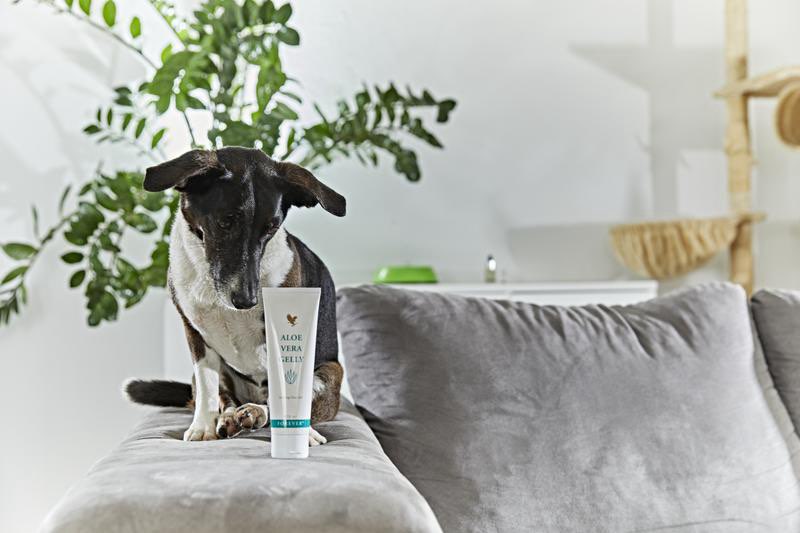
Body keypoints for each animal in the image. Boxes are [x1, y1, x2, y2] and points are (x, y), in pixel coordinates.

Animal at [124, 147, 345, 444]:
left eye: (271, 228)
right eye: (225, 222)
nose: (247, 300)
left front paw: (303, 432)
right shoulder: (194, 334)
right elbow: (207, 386)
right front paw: (203, 427)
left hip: (331, 371)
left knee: (278, 402)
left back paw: (256, 413)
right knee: (226, 398)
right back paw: (233, 417)